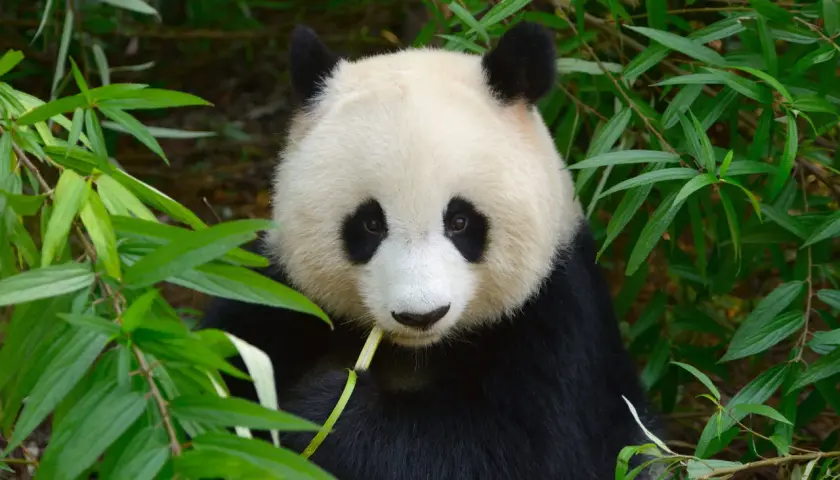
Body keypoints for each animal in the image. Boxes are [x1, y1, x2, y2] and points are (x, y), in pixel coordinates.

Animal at [200, 20, 662, 480]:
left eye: (459, 221)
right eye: (370, 223)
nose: (421, 315)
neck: (416, 351)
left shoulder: (557, 322)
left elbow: (511, 450)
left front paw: (323, 410)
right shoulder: (280, 295)